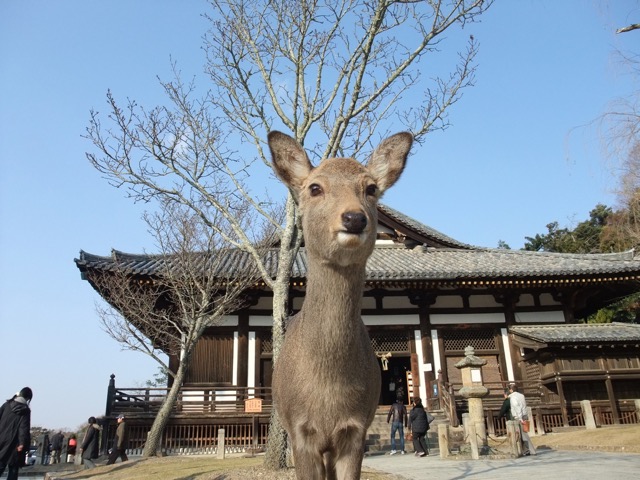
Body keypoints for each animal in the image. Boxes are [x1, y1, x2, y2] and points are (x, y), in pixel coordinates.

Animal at [268, 129, 412, 478]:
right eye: (314, 188)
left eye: (371, 188)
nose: (354, 218)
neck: (329, 396)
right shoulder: (300, 430)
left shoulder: (356, 429)